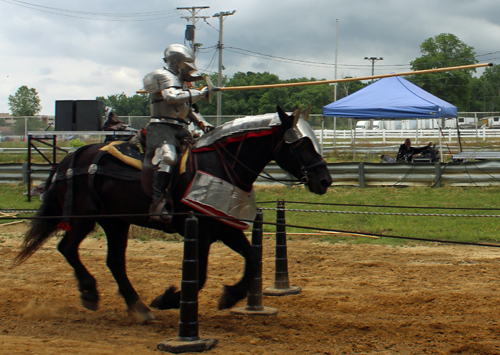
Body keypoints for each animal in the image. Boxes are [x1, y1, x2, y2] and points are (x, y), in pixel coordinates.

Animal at [14, 105, 332, 322]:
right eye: (300, 143)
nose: (324, 181)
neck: (222, 165)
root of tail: (72, 157)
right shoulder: (201, 230)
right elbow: (200, 276)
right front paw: (169, 298)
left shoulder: (224, 227)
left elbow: (253, 259)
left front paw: (230, 296)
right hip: (85, 218)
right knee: (67, 248)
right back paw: (90, 292)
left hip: (116, 222)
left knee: (114, 261)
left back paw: (138, 306)